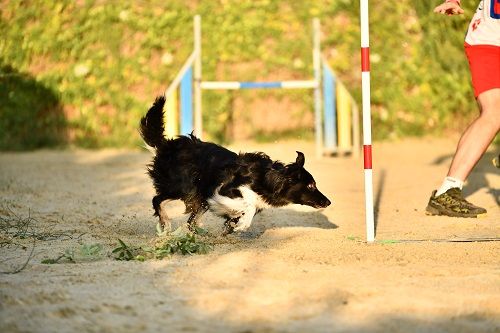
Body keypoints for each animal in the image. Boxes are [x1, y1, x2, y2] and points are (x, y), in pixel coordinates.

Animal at [139, 96, 330, 235]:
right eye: (311, 185)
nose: (328, 202)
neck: (266, 178)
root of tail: (167, 145)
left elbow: (245, 210)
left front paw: (233, 226)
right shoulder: (222, 191)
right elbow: (247, 205)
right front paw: (241, 223)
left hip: (197, 196)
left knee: (191, 221)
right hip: (183, 187)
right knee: (157, 199)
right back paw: (165, 223)